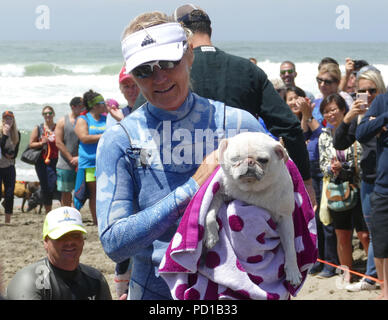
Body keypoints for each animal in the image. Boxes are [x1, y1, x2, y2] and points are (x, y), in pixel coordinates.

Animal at [205, 131, 302, 286]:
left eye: (263, 160)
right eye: (234, 159)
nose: (249, 162)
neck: (252, 190)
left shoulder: (285, 217)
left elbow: (290, 247)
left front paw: (293, 270)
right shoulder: (220, 193)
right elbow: (209, 212)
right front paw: (210, 235)